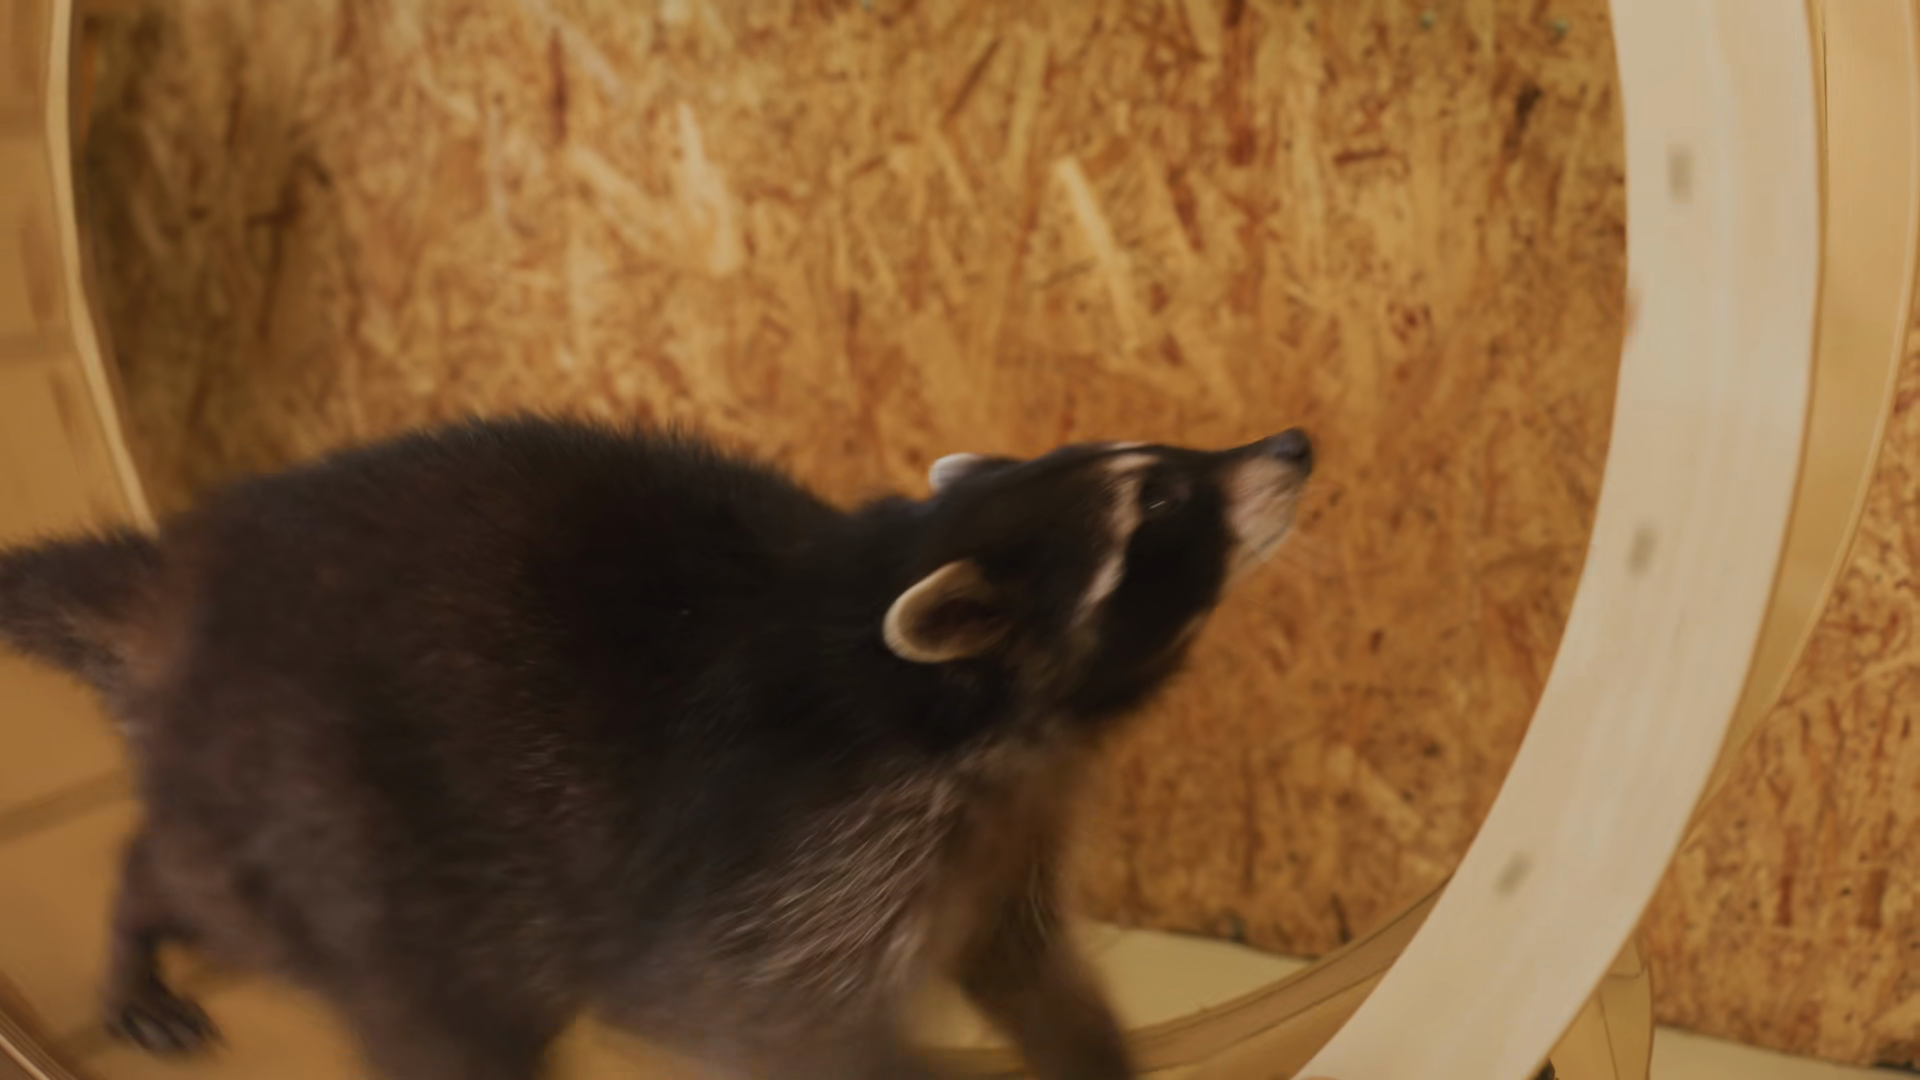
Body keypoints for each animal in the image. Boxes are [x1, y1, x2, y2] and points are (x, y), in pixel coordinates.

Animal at [0, 417, 1313, 1080]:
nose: (1292, 443)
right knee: (273, 918)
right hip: (327, 800)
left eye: (1161, 462)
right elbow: (750, 1014)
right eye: (1159, 507)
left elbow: (1033, 972)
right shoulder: (808, 850)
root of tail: (192, 578)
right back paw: (137, 920)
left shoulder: (1003, 835)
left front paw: (1092, 1057)